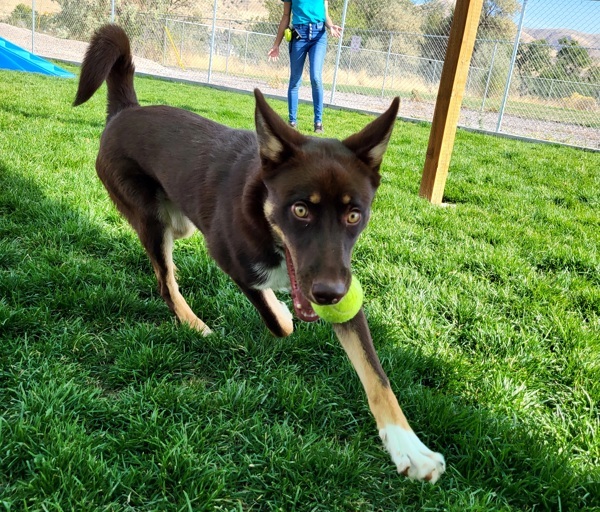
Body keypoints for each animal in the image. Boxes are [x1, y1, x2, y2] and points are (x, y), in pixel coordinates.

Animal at [75, 25, 446, 484]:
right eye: (300, 210)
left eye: (354, 214)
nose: (327, 294)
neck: (271, 230)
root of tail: (125, 111)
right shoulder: (230, 257)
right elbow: (275, 316)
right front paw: (282, 311)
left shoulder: (344, 283)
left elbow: (376, 376)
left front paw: (409, 447)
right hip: (152, 219)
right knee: (165, 281)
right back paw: (194, 323)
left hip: (178, 223)